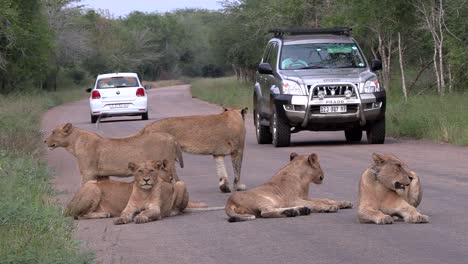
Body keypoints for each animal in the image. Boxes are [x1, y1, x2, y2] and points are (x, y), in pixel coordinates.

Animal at [44, 123, 183, 184]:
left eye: (53, 132)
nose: (44, 141)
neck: (75, 142)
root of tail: (171, 137)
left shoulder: (88, 172)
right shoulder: (101, 174)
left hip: (167, 165)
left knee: (176, 180)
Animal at [64, 161, 207, 221]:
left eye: (151, 171)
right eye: (140, 171)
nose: (146, 180)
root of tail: (67, 206)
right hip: (93, 187)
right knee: (78, 215)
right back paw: (104, 214)